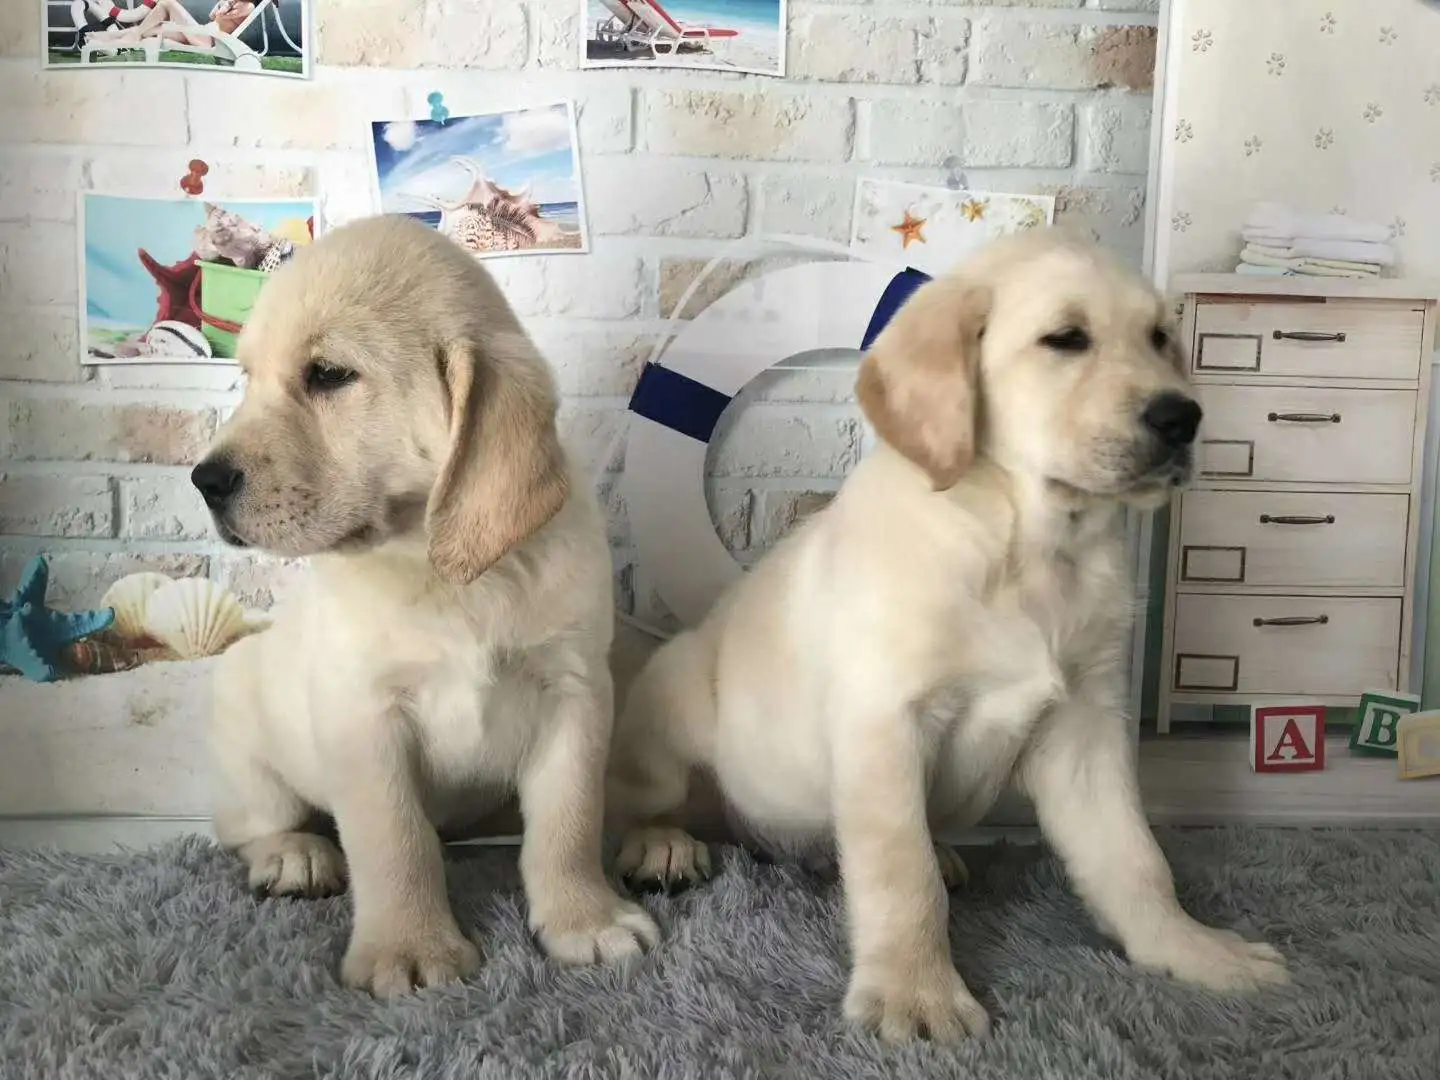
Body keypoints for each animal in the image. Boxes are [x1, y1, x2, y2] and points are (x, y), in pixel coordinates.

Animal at [195, 213, 659, 996]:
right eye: (248, 379)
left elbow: (568, 821)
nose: (204, 480)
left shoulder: (575, 694)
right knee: (251, 824)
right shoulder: (364, 715)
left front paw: (585, 920)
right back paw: (294, 855)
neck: (442, 568)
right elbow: (394, 839)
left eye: (328, 375)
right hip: (241, 722)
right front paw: (408, 948)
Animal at [601, 233, 1290, 1042]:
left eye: (1160, 339)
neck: (1029, 544)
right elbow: (903, 874)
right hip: (676, 698)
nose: (1184, 417)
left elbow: (1134, 856)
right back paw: (664, 844)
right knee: (642, 802)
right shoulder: (886, 721)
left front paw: (1193, 951)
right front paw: (916, 994)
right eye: (1066, 339)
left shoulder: (1088, 725)